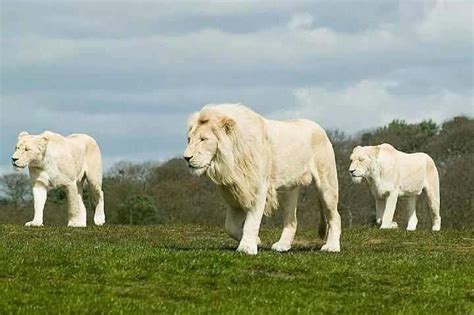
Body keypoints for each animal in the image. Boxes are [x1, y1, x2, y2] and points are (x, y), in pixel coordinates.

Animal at [181, 105, 340, 256]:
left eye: (203, 139)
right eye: (189, 139)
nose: (186, 158)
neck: (229, 162)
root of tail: (320, 128)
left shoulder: (257, 187)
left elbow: (251, 222)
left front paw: (247, 248)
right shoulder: (235, 193)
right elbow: (230, 227)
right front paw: (256, 241)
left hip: (326, 183)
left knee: (335, 216)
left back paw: (332, 247)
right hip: (288, 190)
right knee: (292, 220)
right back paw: (282, 245)